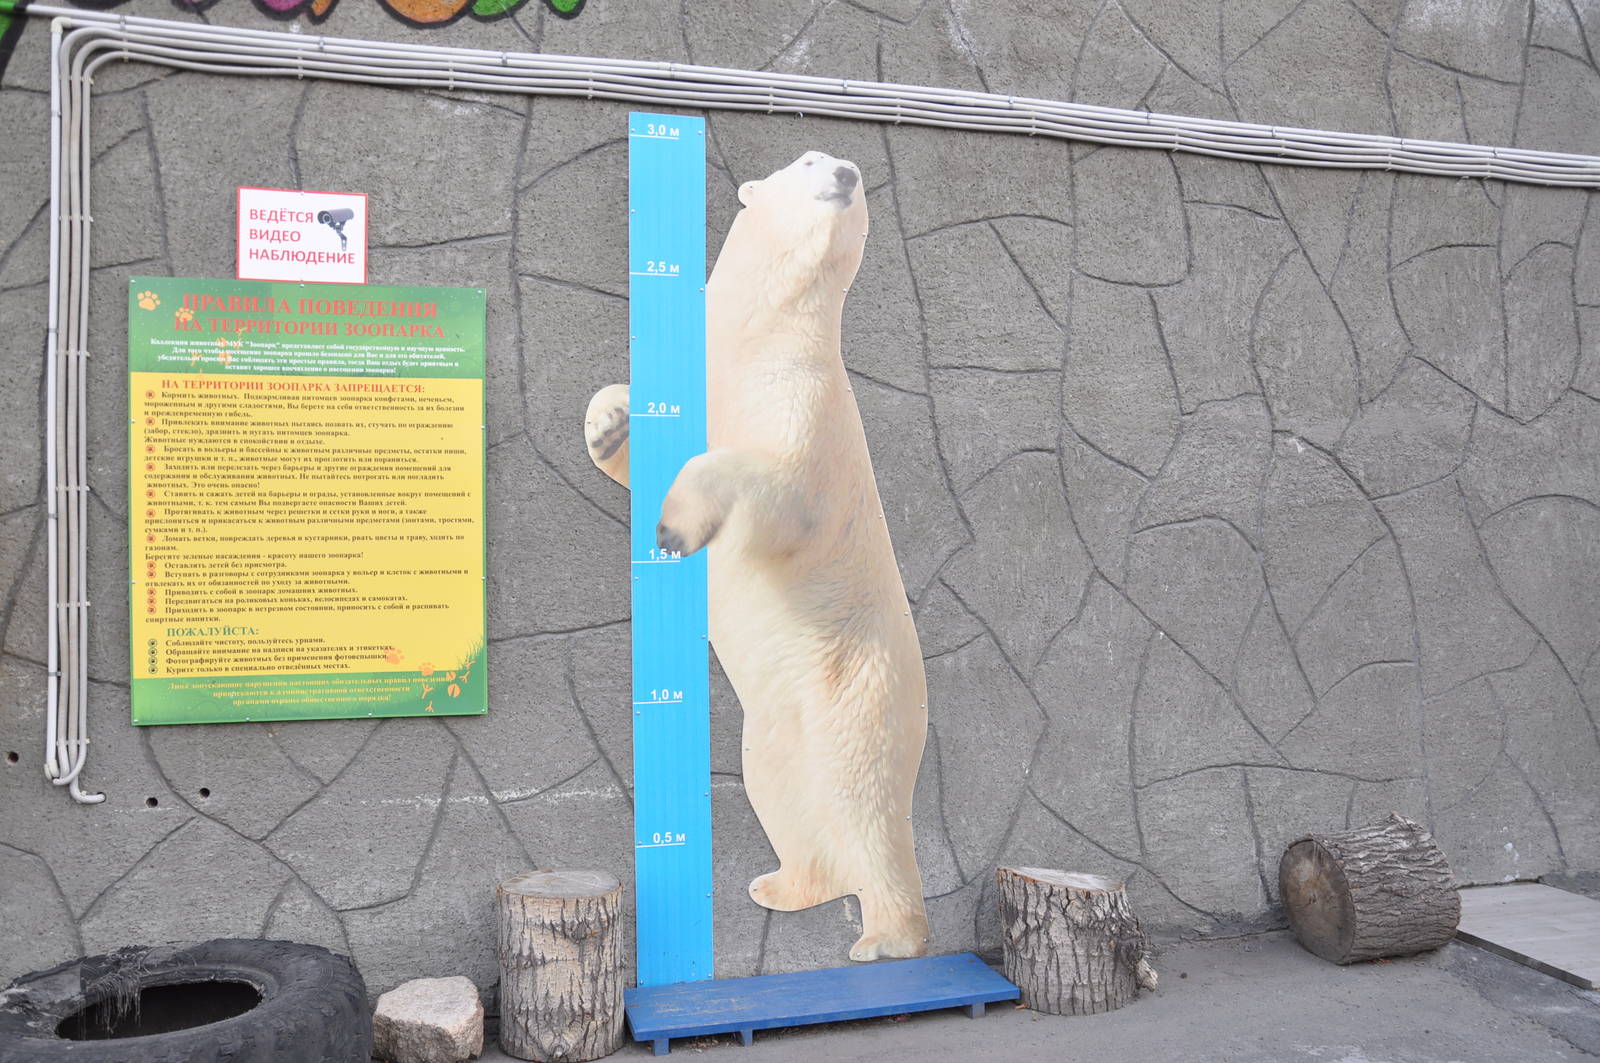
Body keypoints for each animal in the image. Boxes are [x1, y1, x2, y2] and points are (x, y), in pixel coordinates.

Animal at [583, 150, 931, 963]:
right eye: (806, 160)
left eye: (850, 174)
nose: (846, 170)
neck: (750, 340)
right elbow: (632, 434)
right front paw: (608, 425)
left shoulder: (800, 403)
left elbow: (776, 491)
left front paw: (677, 529)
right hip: (776, 726)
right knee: (786, 797)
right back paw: (785, 885)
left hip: (861, 689)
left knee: (867, 805)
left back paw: (885, 938)